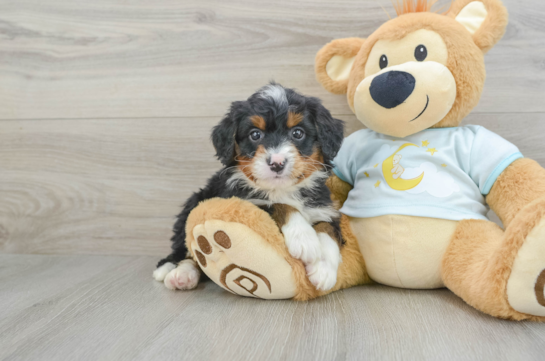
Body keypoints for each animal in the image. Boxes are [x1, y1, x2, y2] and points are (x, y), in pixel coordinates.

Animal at [152, 83, 344, 292]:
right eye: (255, 134)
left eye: (298, 133)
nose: (277, 163)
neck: (282, 190)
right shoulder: (244, 203)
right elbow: (280, 205)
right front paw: (304, 239)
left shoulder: (324, 208)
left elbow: (328, 229)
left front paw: (323, 269)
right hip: (194, 203)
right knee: (186, 250)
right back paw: (178, 273)